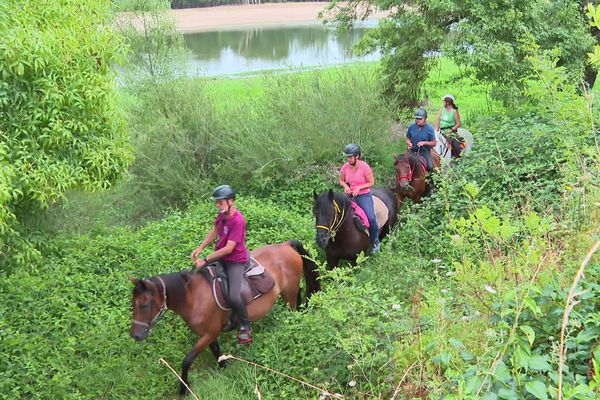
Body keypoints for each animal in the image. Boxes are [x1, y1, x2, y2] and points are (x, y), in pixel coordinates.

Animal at [129, 239, 322, 396]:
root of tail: (285, 245)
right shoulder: (208, 334)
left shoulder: (210, 333)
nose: (135, 335)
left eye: (144, 304)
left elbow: (187, 360)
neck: (193, 297)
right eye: (133, 303)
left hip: (289, 292)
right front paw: (224, 367)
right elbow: (216, 351)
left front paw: (184, 389)